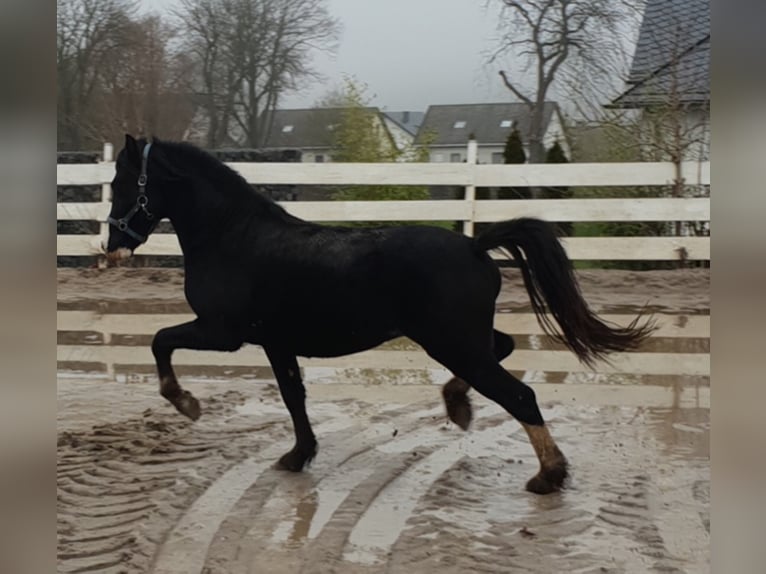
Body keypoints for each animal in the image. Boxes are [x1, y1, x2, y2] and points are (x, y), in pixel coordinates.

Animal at [105, 135, 655, 495]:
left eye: (122, 180)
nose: (112, 244)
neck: (231, 236)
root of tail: (475, 246)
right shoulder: (276, 342)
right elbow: (293, 396)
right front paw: (298, 455)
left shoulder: (223, 332)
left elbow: (160, 339)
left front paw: (186, 402)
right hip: (460, 339)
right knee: (503, 349)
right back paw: (458, 405)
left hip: (451, 341)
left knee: (519, 394)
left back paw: (548, 475)